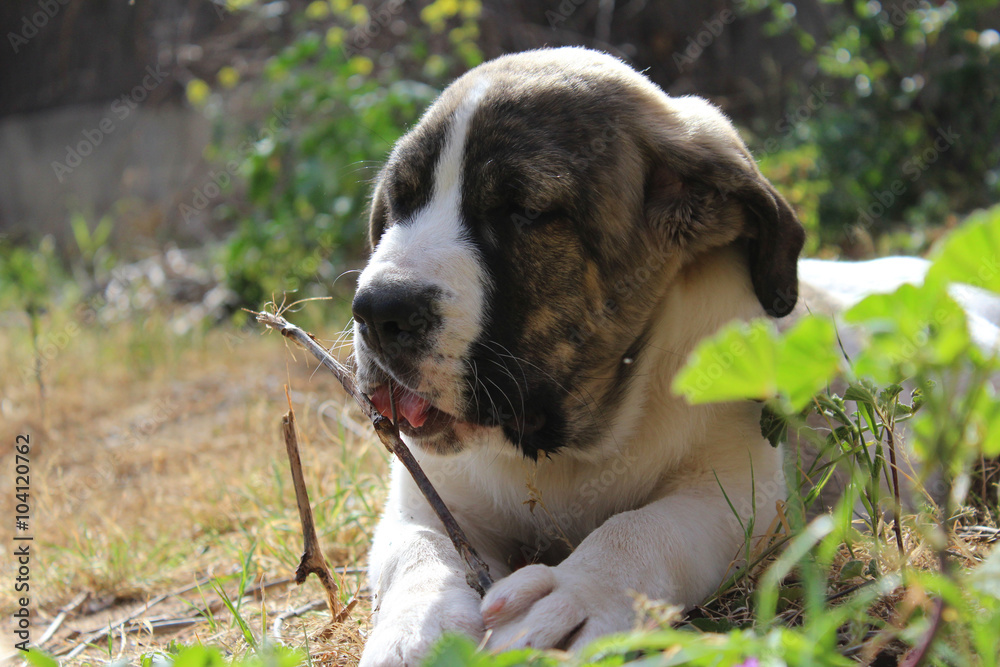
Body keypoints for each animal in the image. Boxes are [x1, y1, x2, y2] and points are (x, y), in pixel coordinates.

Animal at [352, 45, 804, 664]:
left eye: (522, 210)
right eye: (399, 205)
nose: (377, 311)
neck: (568, 448)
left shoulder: (741, 494)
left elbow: (641, 529)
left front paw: (577, 594)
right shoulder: (428, 499)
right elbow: (420, 553)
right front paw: (417, 631)